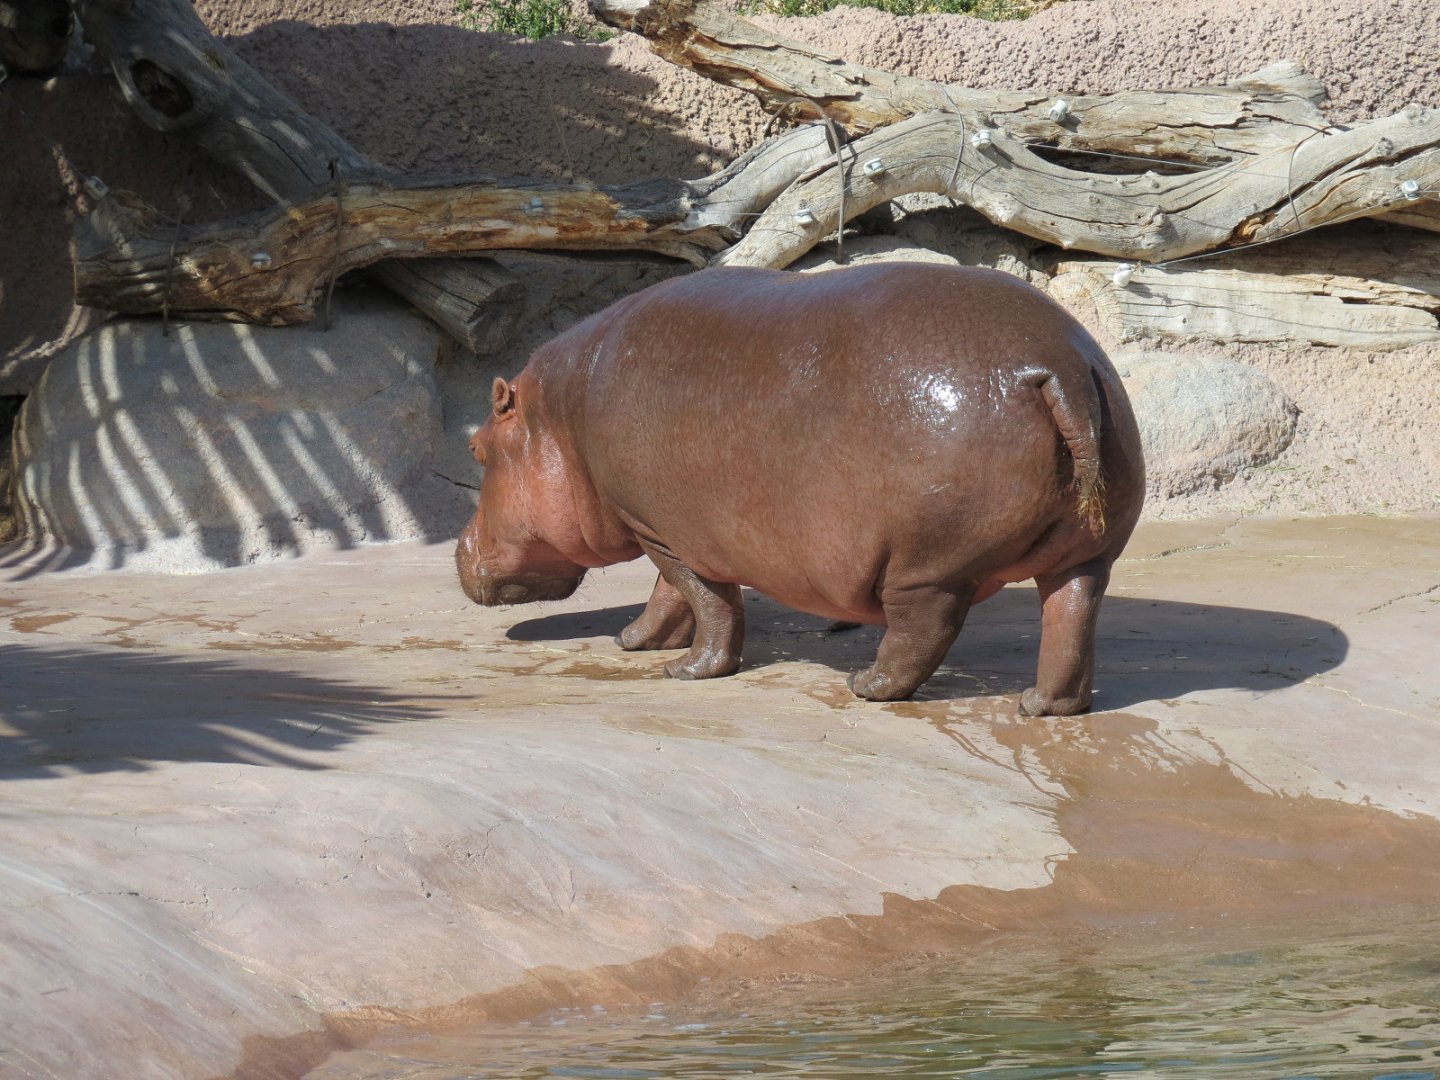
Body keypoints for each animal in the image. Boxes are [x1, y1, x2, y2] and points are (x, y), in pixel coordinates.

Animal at [457, 263, 1144, 716]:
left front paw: (682, 668)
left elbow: (704, 600)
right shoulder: (674, 527)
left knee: (925, 627)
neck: (559, 416)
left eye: (476, 449)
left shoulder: (660, 529)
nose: (459, 549)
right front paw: (638, 643)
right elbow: (678, 596)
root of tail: (1059, 368)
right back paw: (1042, 704)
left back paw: (867, 686)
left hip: (927, 563)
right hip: (1089, 551)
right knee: (1072, 612)